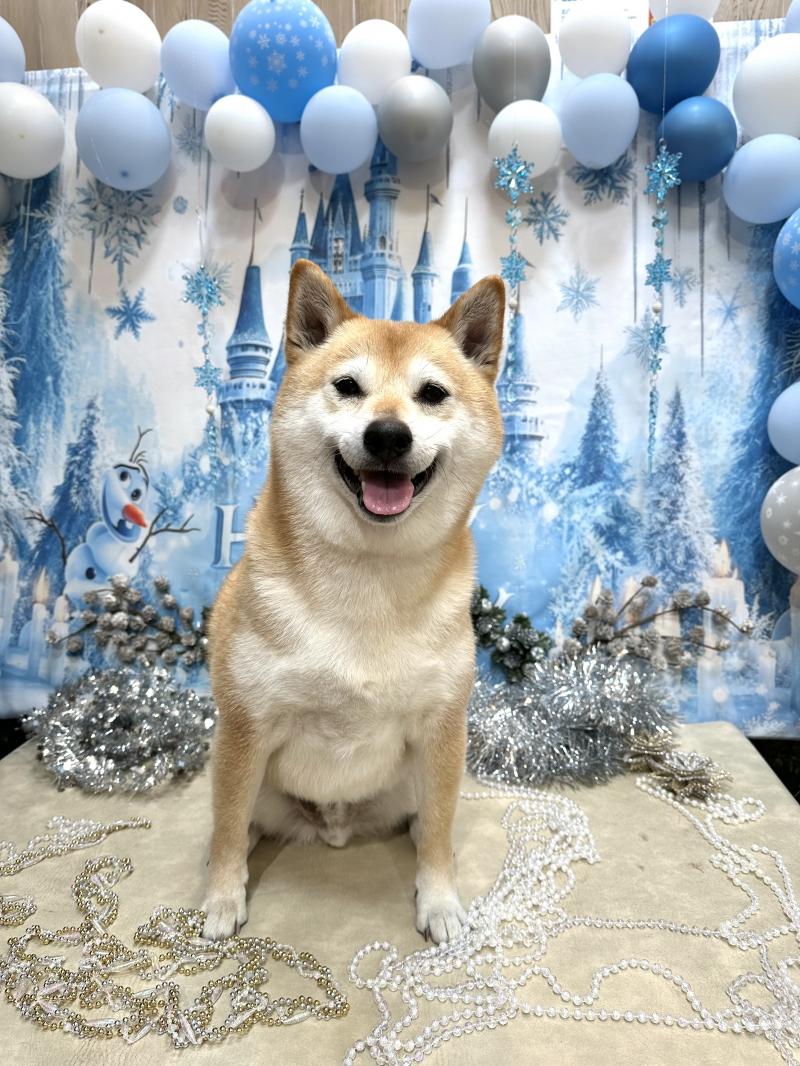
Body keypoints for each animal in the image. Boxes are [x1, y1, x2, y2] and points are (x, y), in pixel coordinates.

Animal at [202, 258, 504, 945]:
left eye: (432, 394)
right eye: (347, 386)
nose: (388, 435)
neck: (370, 577)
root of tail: (336, 826)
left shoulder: (442, 726)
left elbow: (440, 835)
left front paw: (439, 901)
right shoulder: (246, 723)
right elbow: (229, 824)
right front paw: (222, 898)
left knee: (428, 820)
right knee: (238, 820)